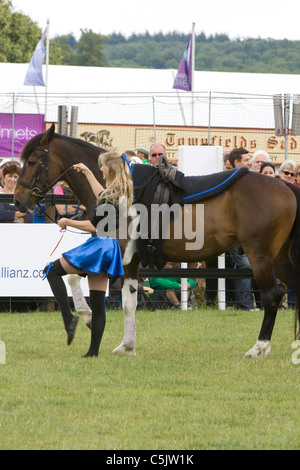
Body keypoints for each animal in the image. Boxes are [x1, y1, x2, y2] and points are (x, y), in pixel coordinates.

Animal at [13, 123, 300, 358]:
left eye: (33, 160)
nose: (17, 200)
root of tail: (284, 186)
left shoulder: (119, 257)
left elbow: (83, 281)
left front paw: (86, 317)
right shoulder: (129, 262)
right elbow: (127, 302)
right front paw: (126, 345)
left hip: (260, 256)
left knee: (272, 296)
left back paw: (259, 347)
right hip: (278, 258)